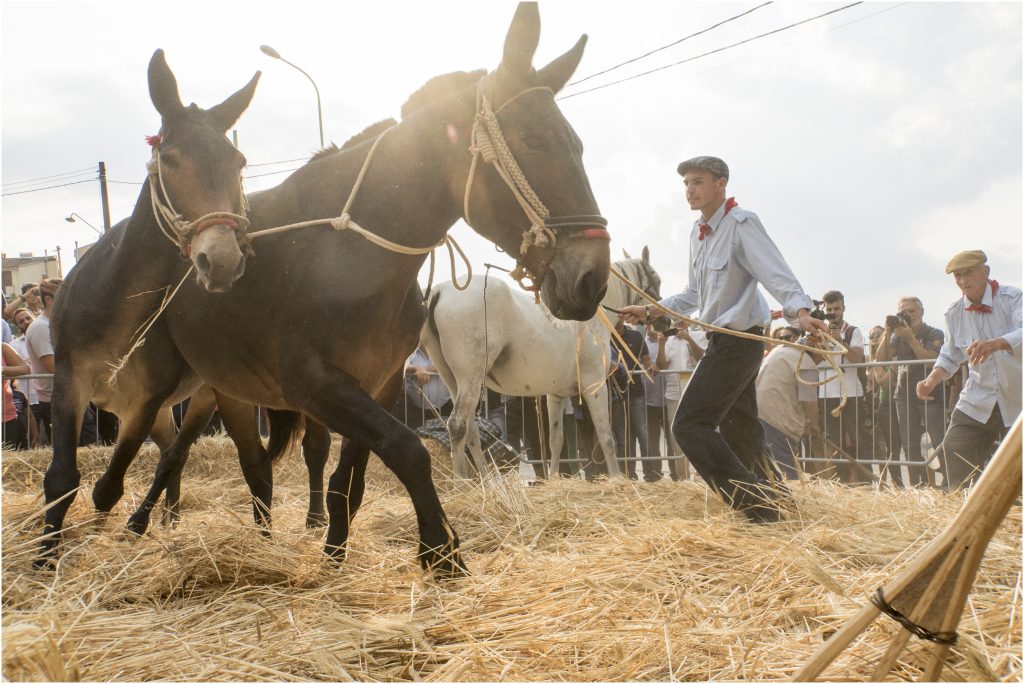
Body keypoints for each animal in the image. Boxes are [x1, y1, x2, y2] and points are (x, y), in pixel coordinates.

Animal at [419, 248, 659, 479]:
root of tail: (440, 291)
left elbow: (556, 440)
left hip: (451, 379)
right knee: (457, 425)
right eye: (656, 277)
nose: (661, 320)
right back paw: (462, 482)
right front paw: (617, 478)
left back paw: (489, 481)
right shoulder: (595, 384)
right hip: (470, 378)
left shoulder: (556, 394)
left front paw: (553, 478)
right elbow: (606, 436)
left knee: (471, 429)